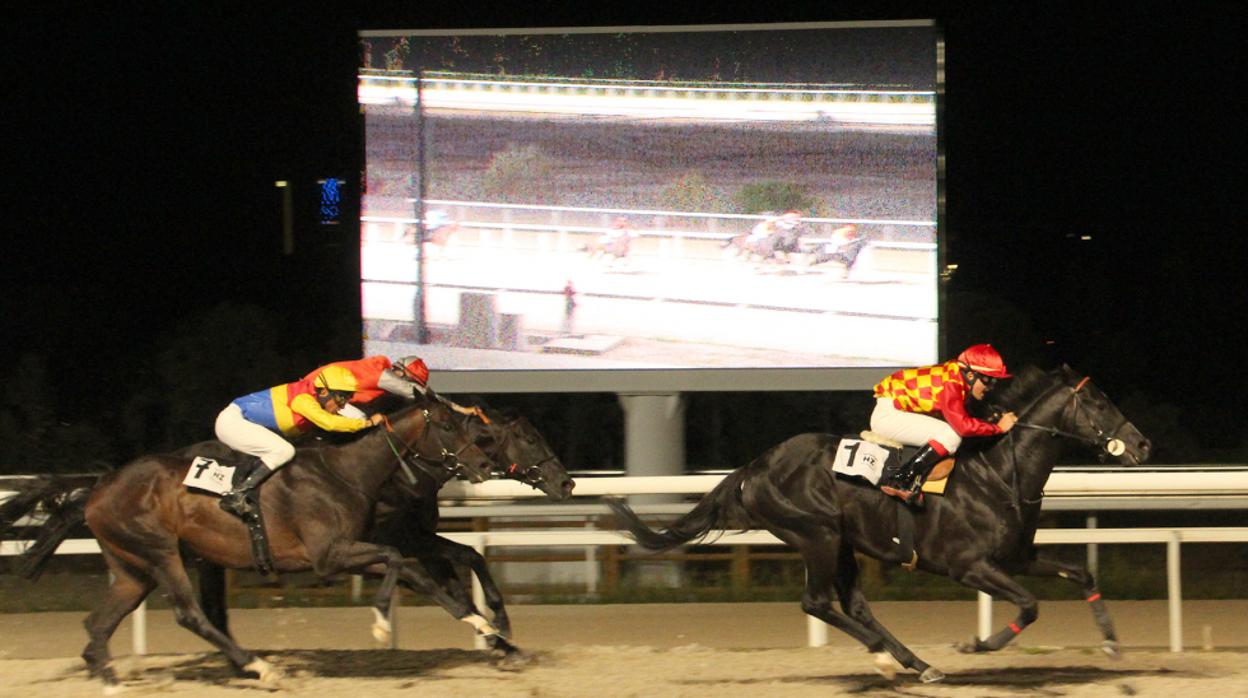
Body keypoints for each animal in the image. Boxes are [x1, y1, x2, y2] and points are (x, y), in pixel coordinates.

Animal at [1, 402, 496, 689]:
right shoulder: (328, 555)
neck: (345, 471)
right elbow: (400, 559)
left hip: (131, 568)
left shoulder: (345, 554)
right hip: (159, 552)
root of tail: (101, 484)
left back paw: (108, 678)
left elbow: (411, 570)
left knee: (98, 623)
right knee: (189, 614)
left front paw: (481, 624)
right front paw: (380, 623)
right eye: (448, 425)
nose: (484, 464)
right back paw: (259, 666)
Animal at [197, 407, 576, 664]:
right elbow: (446, 578)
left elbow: (468, 559)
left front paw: (501, 634)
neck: (405, 476)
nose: (566, 483)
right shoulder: (402, 539)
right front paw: (497, 631)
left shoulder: (418, 537)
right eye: (530, 438)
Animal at [606, 369, 1148, 684]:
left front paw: (1111, 642)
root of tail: (755, 467)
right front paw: (976, 643)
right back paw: (888, 658)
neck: (999, 472)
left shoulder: (1016, 556)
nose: (1142, 445)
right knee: (817, 602)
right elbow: (1030, 605)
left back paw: (916, 664)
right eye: (1098, 403)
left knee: (855, 606)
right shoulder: (968, 566)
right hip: (818, 534)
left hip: (843, 541)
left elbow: (1082, 574)